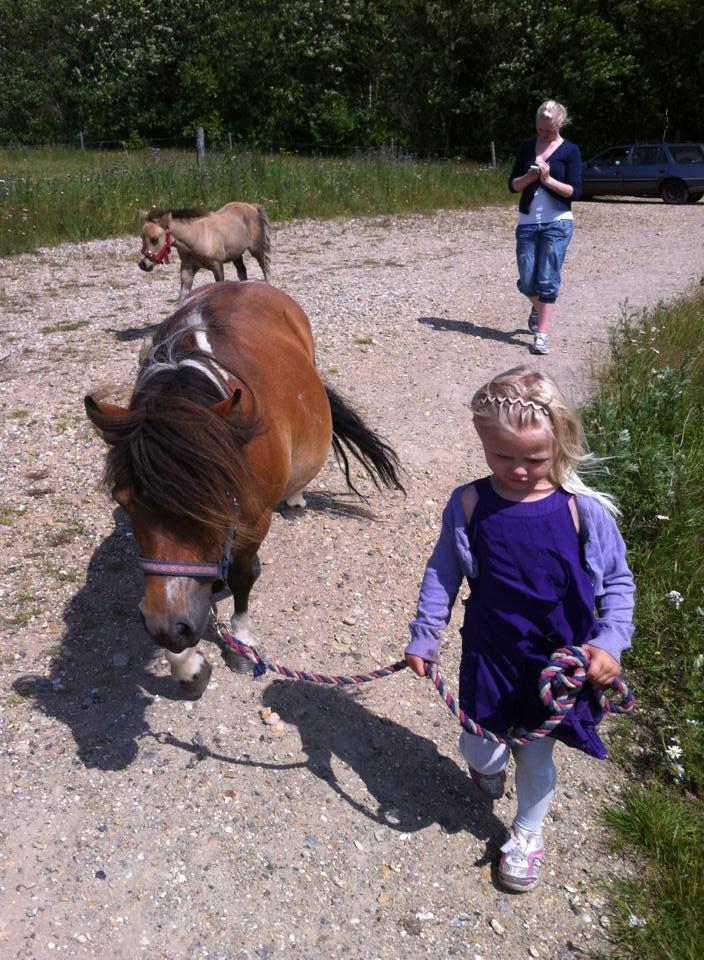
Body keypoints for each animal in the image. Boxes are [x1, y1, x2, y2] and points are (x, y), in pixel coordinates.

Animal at [84, 281, 403, 698]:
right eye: (125, 503)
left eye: (213, 502)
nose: (168, 629)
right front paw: (185, 663)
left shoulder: (253, 519)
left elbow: (243, 574)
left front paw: (241, 642)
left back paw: (295, 498)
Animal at [138, 202, 271, 304]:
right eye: (142, 237)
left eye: (154, 239)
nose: (143, 264)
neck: (197, 236)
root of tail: (252, 206)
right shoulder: (187, 267)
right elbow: (183, 296)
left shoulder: (217, 265)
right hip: (236, 254)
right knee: (242, 272)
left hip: (255, 249)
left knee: (265, 266)